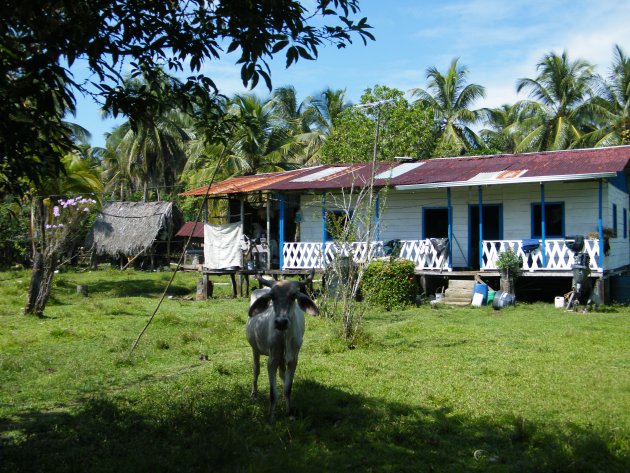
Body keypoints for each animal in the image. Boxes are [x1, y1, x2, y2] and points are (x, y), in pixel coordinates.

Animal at [246, 272, 318, 424]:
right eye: (272, 297)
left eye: (293, 296)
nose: (281, 322)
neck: (285, 336)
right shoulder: (272, 360)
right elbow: (273, 393)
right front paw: (271, 418)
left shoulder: (293, 360)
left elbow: (288, 388)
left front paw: (289, 413)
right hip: (255, 349)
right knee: (256, 370)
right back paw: (254, 394)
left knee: (282, 375)